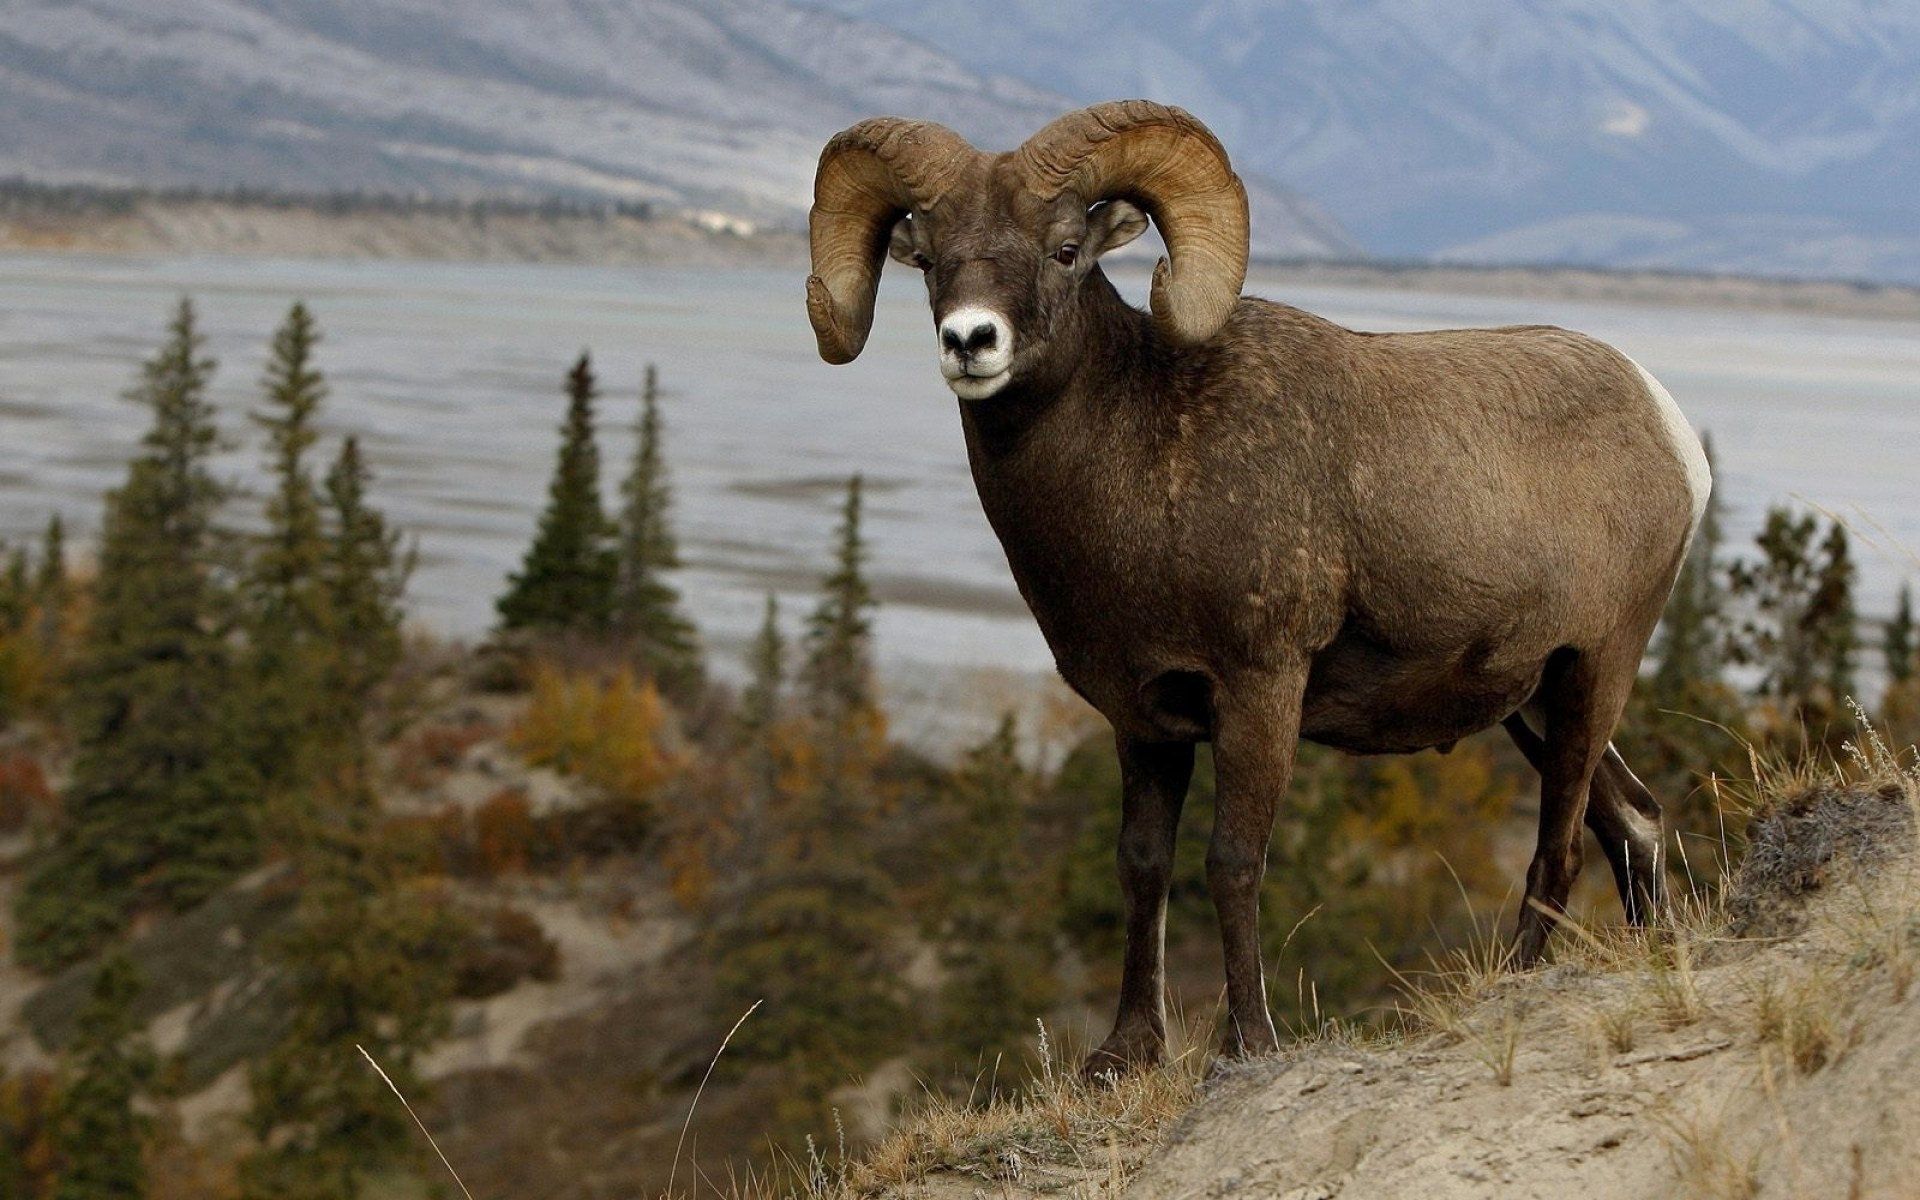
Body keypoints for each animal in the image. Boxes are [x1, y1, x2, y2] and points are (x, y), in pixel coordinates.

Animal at [804, 100, 1711, 1075]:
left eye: (1064, 249)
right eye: (929, 259)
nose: (970, 342)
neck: (1145, 460)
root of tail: (1671, 430)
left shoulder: (1261, 691)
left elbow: (1232, 863)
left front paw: (1246, 1044)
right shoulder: (1143, 721)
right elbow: (1142, 866)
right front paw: (1125, 1053)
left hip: (1596, 670)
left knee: (1559, 850)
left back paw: (1508, 988)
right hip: (1533, 704)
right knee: (1634, 821)